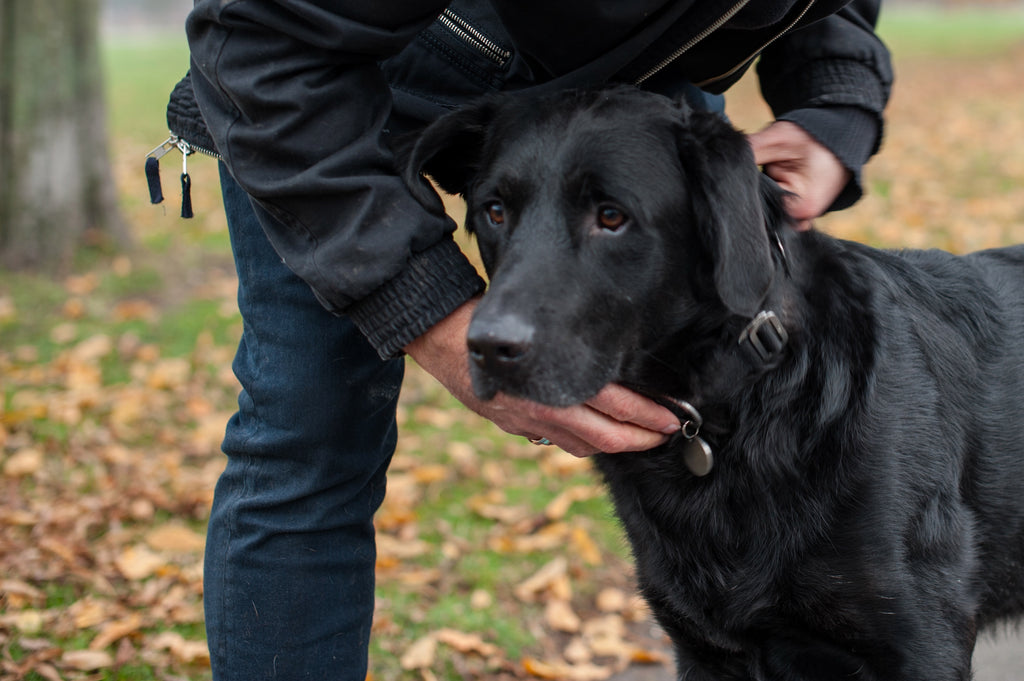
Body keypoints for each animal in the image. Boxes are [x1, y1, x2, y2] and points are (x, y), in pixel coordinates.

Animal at [403, 87, 1024, 675]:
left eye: (611, 216)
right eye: (495, 212)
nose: (488, 346)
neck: (743, 408)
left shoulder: (922, 646)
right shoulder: (706, 649)